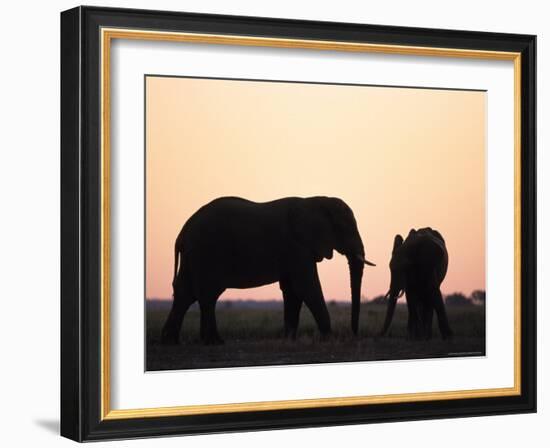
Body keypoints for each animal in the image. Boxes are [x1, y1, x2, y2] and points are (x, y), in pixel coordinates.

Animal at [160, 194, 376, 344]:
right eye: (345, 228)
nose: (354, 333)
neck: (315, 200)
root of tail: (182, 232)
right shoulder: (297, 247)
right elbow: (306, 286)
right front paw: (329, 337)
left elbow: (292, 291)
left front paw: (289, 338)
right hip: (206, 253)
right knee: (207, 295)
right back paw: (214, 342)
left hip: (194, 256)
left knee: (186, 293)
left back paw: (171, 342)